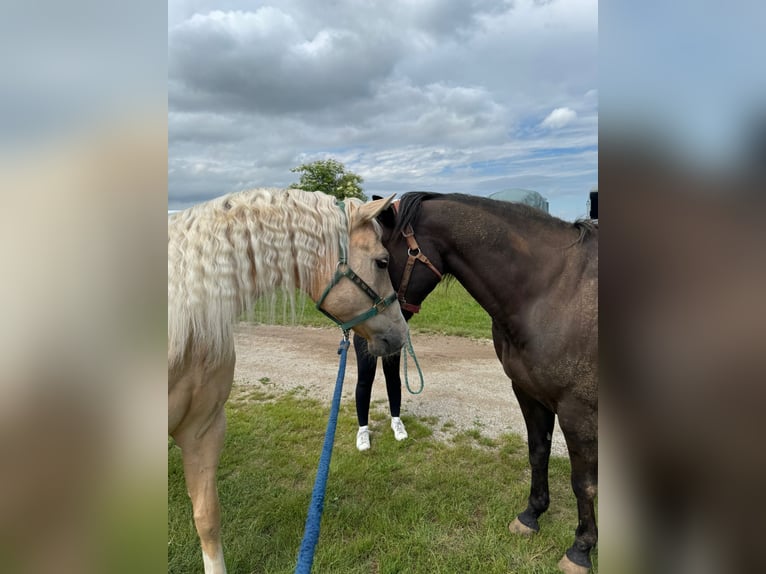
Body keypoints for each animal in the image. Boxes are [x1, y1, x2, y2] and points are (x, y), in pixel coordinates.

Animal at [376, 195, 600, 574]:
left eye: (382, 260)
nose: (377, 333)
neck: (552, 292)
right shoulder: (529, 394)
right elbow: (537, 453)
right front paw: (531, 515)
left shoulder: (578, 412)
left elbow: (584, 484)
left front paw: (580, 549)